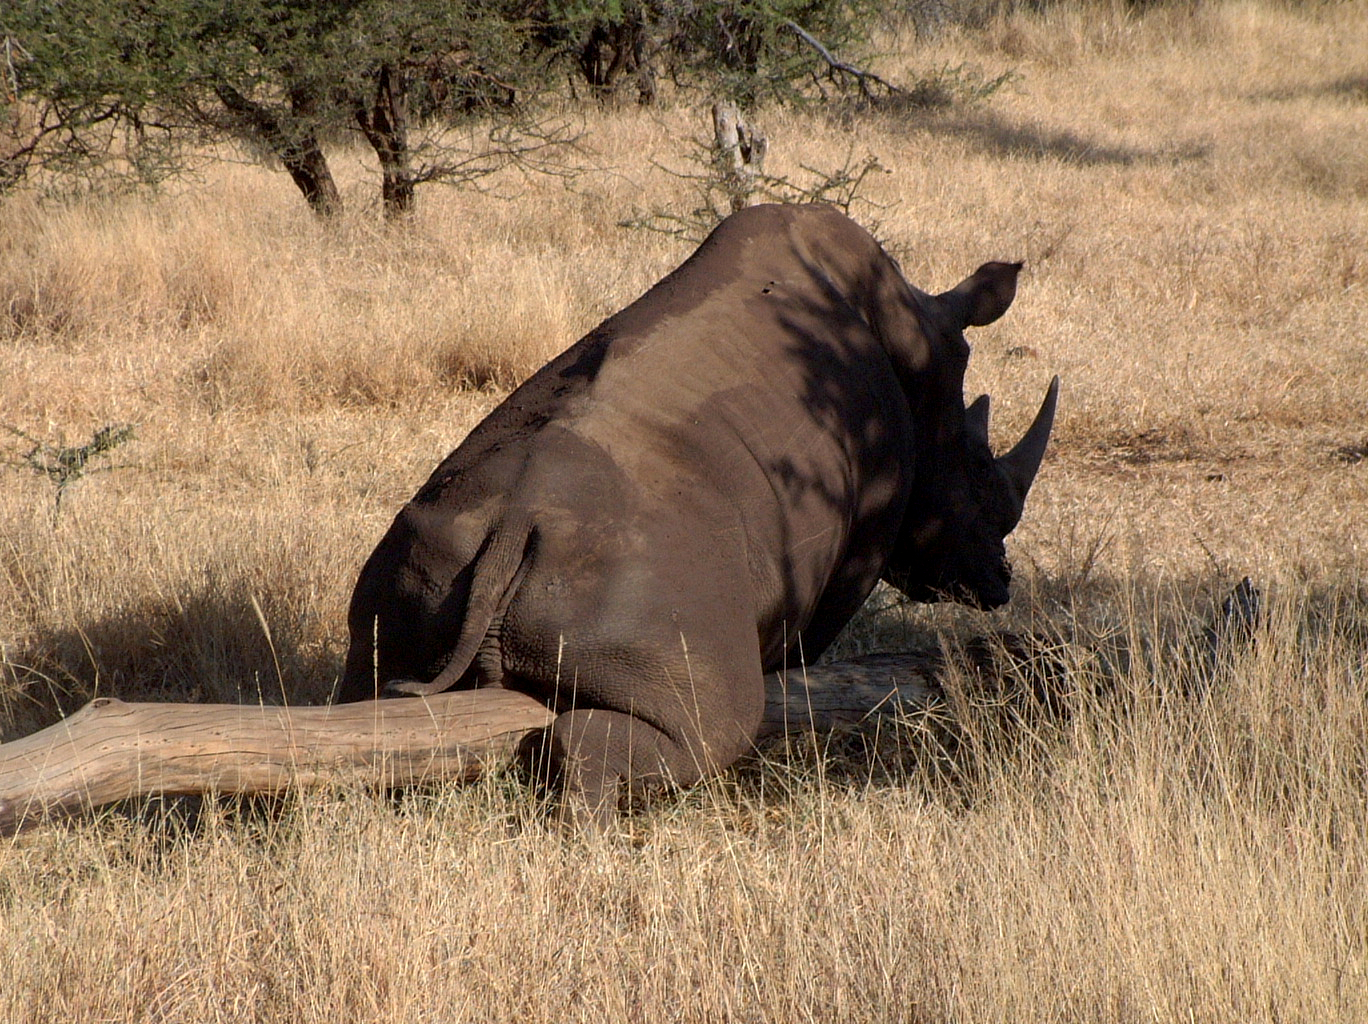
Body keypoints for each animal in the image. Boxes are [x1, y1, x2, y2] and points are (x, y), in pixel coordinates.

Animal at [339, 202, 1056, 820]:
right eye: (982, 477)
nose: (1000, 582)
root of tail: (510, 532)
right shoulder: (862, 536)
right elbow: (809, 641)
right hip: (646, 589)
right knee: (714, 723)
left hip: (422, 567)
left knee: (368, 702)